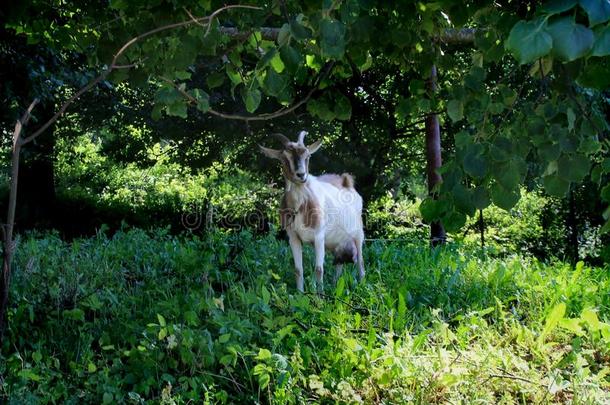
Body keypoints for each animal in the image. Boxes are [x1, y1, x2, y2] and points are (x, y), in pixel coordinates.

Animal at [258, 131, 364, 292]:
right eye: (284, 159)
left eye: (307, 156)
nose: (301, 175)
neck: (299, 208)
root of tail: (347, 182)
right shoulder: (293, 238)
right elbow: (298, 269)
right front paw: (301, 293)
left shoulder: (319, 237)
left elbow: (319, 269)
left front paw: (320, 296)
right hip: (337, 244)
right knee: (339, 265)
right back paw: (335, 285)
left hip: (358, 235)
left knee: (361, 264)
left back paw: (362, 285)